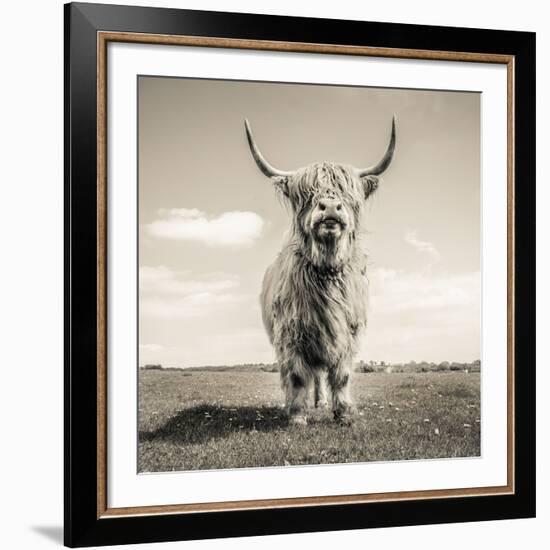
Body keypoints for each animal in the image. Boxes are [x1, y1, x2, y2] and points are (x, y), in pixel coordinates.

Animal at [246, 116, 396, 426]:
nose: (330, 208)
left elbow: (342, 375)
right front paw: (297, 416)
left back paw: (322, 402)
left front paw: (344, 414)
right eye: (306, 194)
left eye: (349, 195)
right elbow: (297, 376)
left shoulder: (349, 333)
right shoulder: (291, 335)